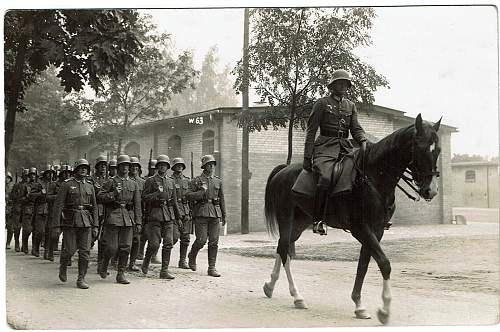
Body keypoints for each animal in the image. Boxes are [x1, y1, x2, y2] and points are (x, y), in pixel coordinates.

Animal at [262, 114, 442, 324]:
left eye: (438, 150)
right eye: (420, 148)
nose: (431, 191)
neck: (373, 178)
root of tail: (283, 171)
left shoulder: (376, 230)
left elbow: (363, 265)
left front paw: (359, 306)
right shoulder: (360, 228)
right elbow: (384, 263)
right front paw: (384, 310)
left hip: (301, 222)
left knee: (282, 247)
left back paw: (270, 286)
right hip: (286, 218)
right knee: (284, 250)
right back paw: (297, 296)